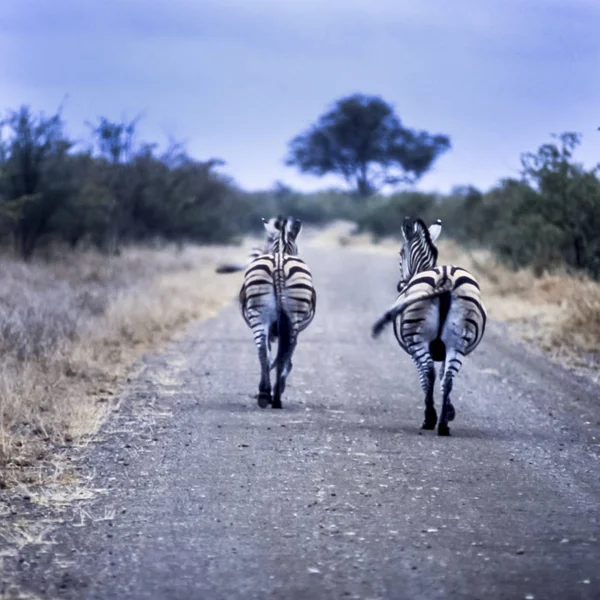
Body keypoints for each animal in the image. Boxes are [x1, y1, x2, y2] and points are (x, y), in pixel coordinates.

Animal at [239, 214, 316, 408]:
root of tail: (279, 261)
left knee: (263, 351)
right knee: (285, 352)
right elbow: (287, 355)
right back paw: (276, 397)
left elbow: (270, 353)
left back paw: (265, 394)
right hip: (292, 318)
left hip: (258, 315)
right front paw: (278, 389)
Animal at [370, 216, 488, 436]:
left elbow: (428, 377)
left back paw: (430, 419)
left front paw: (438, 412)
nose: (400, 285)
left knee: (428, 372)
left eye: (401, 253)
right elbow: (442, 375)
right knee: (448, 377)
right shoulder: (445, 348)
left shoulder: (417, 349)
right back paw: (443, 424)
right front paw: (449, 410)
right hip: (459, 341)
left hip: (418, 339)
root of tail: (446, 277)